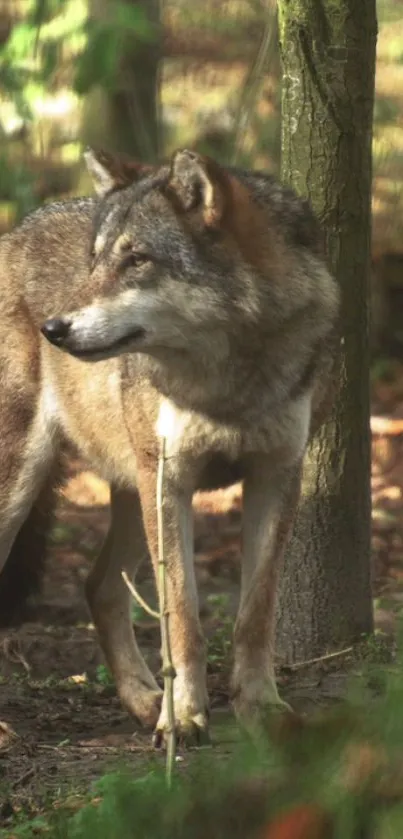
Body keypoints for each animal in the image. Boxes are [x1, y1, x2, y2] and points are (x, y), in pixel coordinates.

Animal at [0, 148, 340, 744]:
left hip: (133, 488)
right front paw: (183, 717)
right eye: (94, 261)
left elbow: (255, 614)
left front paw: (260, 708)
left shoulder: (276, 475)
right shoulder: (173, 482)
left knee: (100, 586)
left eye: (136, 259)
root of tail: (10, 235)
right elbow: (182, 615)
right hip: (35, 482)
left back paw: (142, 701)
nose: (53, 328)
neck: (229, 379)